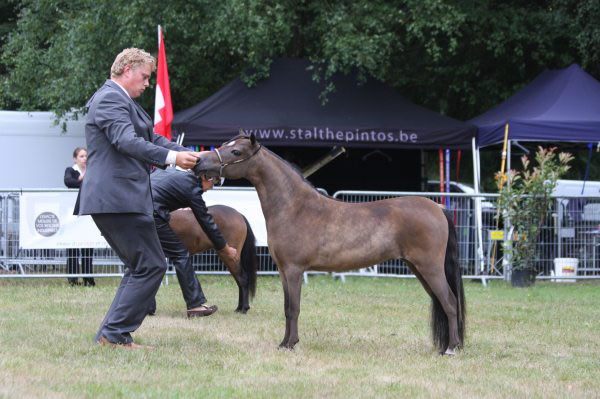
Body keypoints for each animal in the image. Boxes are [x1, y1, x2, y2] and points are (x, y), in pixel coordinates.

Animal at [195, 135, 466, 356]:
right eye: (223, 144)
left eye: (236, 151)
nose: (199, 163)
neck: (294, 206)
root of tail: (438, 208)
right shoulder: (284, 271)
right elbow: (287, 307)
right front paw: (285, 342)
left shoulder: (294, 270)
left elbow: (293, 308)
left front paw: (289, 344)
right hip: (418, 269)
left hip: (430, 268)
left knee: (450, 303)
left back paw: (451, 349)